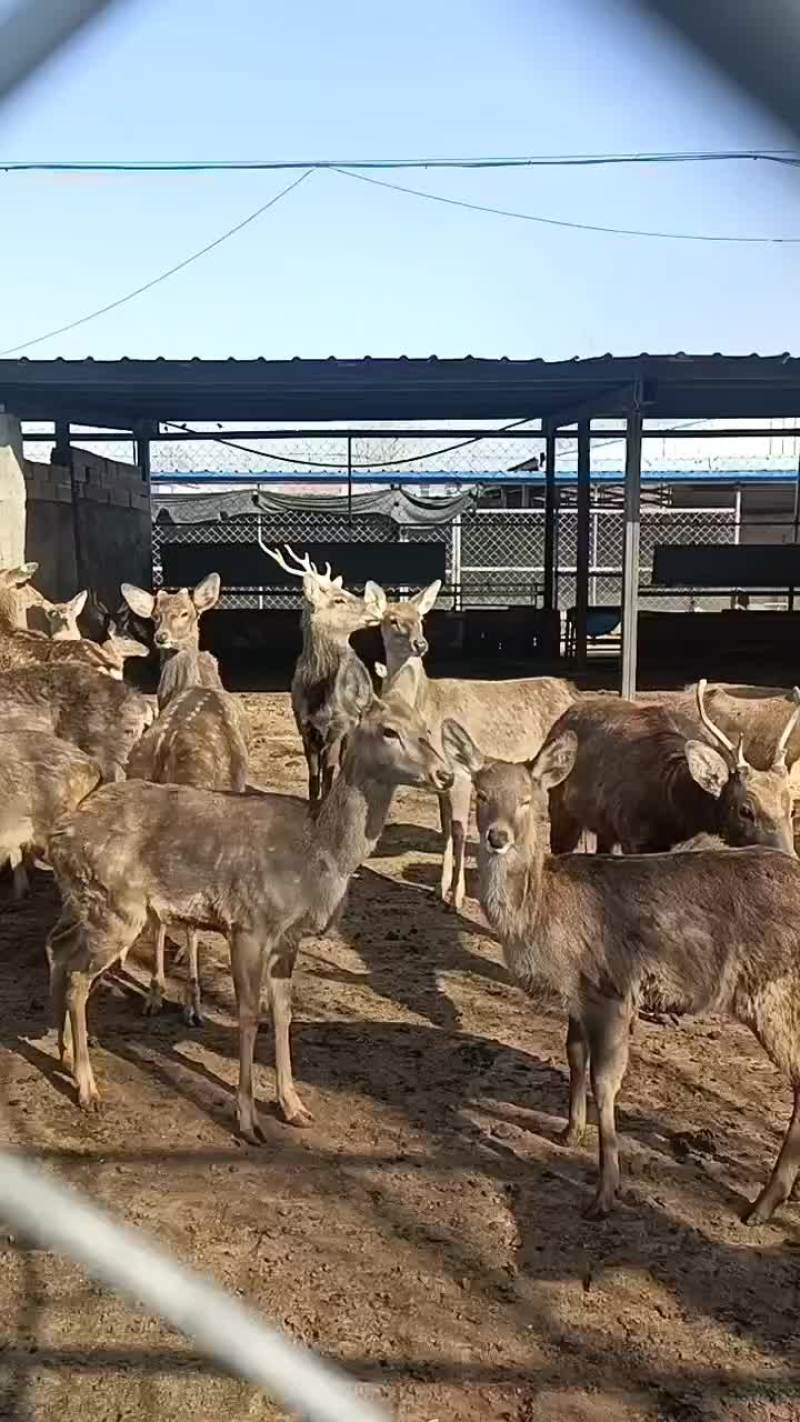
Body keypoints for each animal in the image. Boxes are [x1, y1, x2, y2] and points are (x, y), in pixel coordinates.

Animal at [46, 660, 453, 1141]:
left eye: (426, 727)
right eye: (389, 730)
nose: (445, 774)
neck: (317, 853)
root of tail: (59, 836)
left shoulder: (288, 939)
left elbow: (282, 1013)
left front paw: (293, 1106)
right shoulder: (249, 924)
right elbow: (247, 1014)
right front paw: (247, 1119)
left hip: (87, 903)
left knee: (59, 950)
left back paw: (64, 1054)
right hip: (115, 907)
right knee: (78, 978)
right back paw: (88, 1088)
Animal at [264, 546, 385, 808]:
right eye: (339, 599)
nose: (378, 609)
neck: (318, 697)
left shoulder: (339, 725)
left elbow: (328, 773)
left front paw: (325, 807)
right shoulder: (304, 726)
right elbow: (313, 776)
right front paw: (312, 808)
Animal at [378, 581, 575, 908]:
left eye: (421, 618)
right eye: (391, 619)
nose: (420, 644)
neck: (425, 706)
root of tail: (572, 690)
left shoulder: (460, 774)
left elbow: (459, 830)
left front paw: (455, 897)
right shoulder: (442, 779)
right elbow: (445, 829)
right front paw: (438, 888)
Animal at [441, 716, 800, 1225]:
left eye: (528, 799)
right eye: (481, 794)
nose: (497, 837)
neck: (544, 914)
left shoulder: (611, 988)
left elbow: (606, 1082)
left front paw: (604, 1193)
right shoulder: (577, 994)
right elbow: (573, 1053)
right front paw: (568, 1130)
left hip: (772, 991)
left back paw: (763, 1203)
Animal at [545, 680, 800, 855]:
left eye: (791, 810)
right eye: (745, 810)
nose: (789, 856)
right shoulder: (633, 836)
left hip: (603, 828)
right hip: (560, 808)